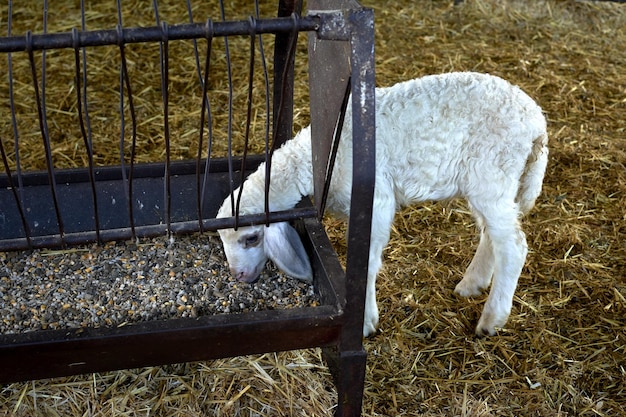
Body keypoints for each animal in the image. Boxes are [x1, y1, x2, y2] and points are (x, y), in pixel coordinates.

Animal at [216, 71, 544, 336]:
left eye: (252, 238)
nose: (238, 276)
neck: (317, 161)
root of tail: (537, 120)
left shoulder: (377, 202)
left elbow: (368, 263)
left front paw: (364, 322)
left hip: (493, 174)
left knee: (514, 247)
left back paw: (491, 319)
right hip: (489, 183)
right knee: (492, 235)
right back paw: (471, 284)